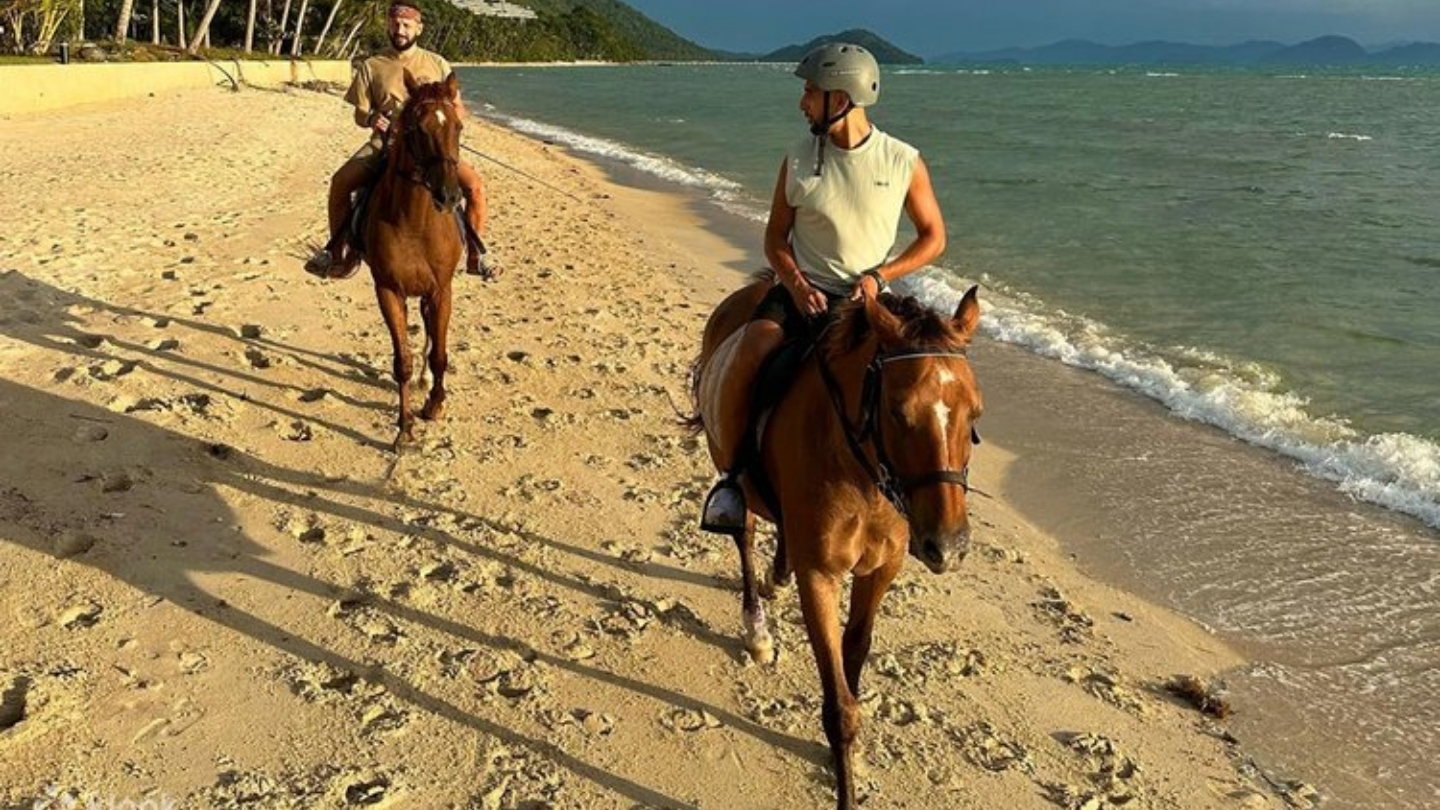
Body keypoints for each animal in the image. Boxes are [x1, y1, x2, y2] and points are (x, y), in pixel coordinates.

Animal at [363, 71, 465, 450]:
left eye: (458, 127)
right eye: (418, 129)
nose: (449, 196)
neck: (416, 223)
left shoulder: (441, 291)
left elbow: (439, 354)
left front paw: (434, 405)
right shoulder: (388, 291)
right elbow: (402, 361)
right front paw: (404, 426)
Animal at [690, 278, 983, 810]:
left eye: (975, 413)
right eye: (898, 412)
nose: (949, 546)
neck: (861, 474)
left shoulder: (880, 570)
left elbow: (855, 652)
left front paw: (851, 758)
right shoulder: (821, 577)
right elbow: (839, 706)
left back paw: (777, 574)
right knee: (744, 535)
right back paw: (757, 629)